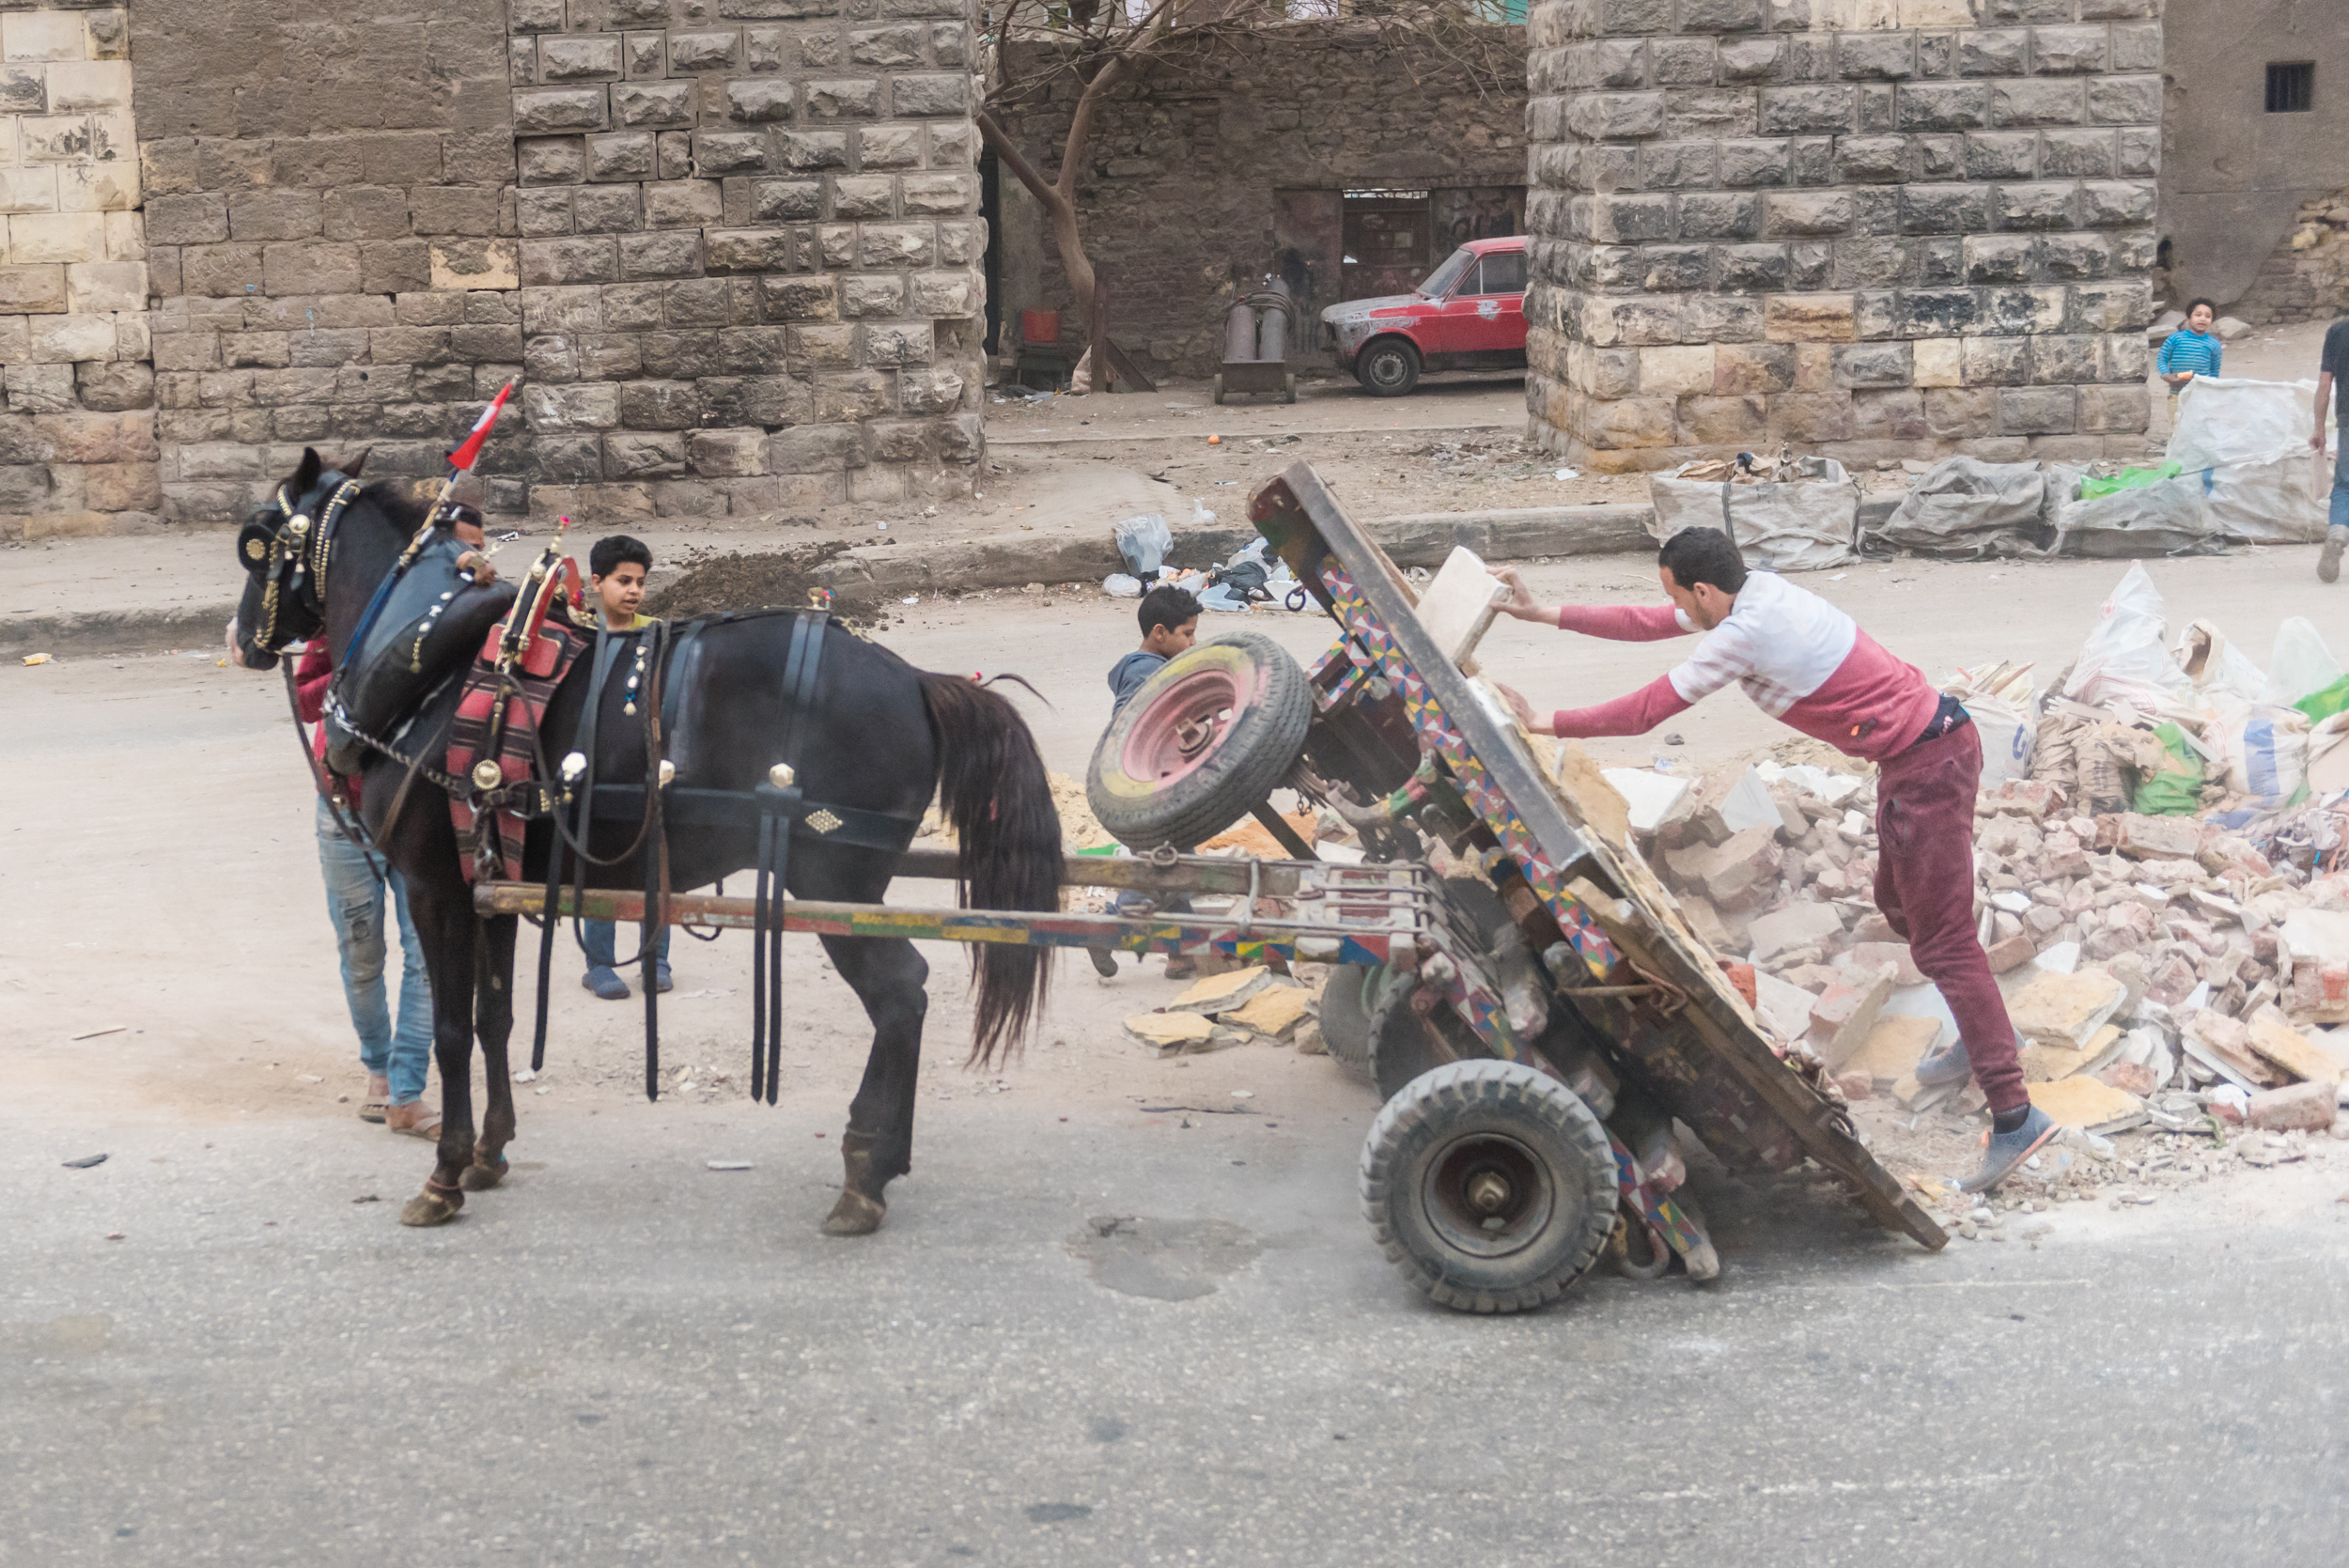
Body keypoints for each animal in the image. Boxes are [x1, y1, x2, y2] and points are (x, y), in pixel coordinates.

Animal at [233, 453, 1062, 1239]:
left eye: (258, 541)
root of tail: (917, 680)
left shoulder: (435, 887)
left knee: (900, 993)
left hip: (834, 884)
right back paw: (884, 1159)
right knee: (904, 996)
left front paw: (443, 1174)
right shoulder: (491, 882)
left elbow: (448, 1031)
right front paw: (490, 1152)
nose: (242, 639)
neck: (425, 662)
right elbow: (494, 1017)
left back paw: (865, 1167)